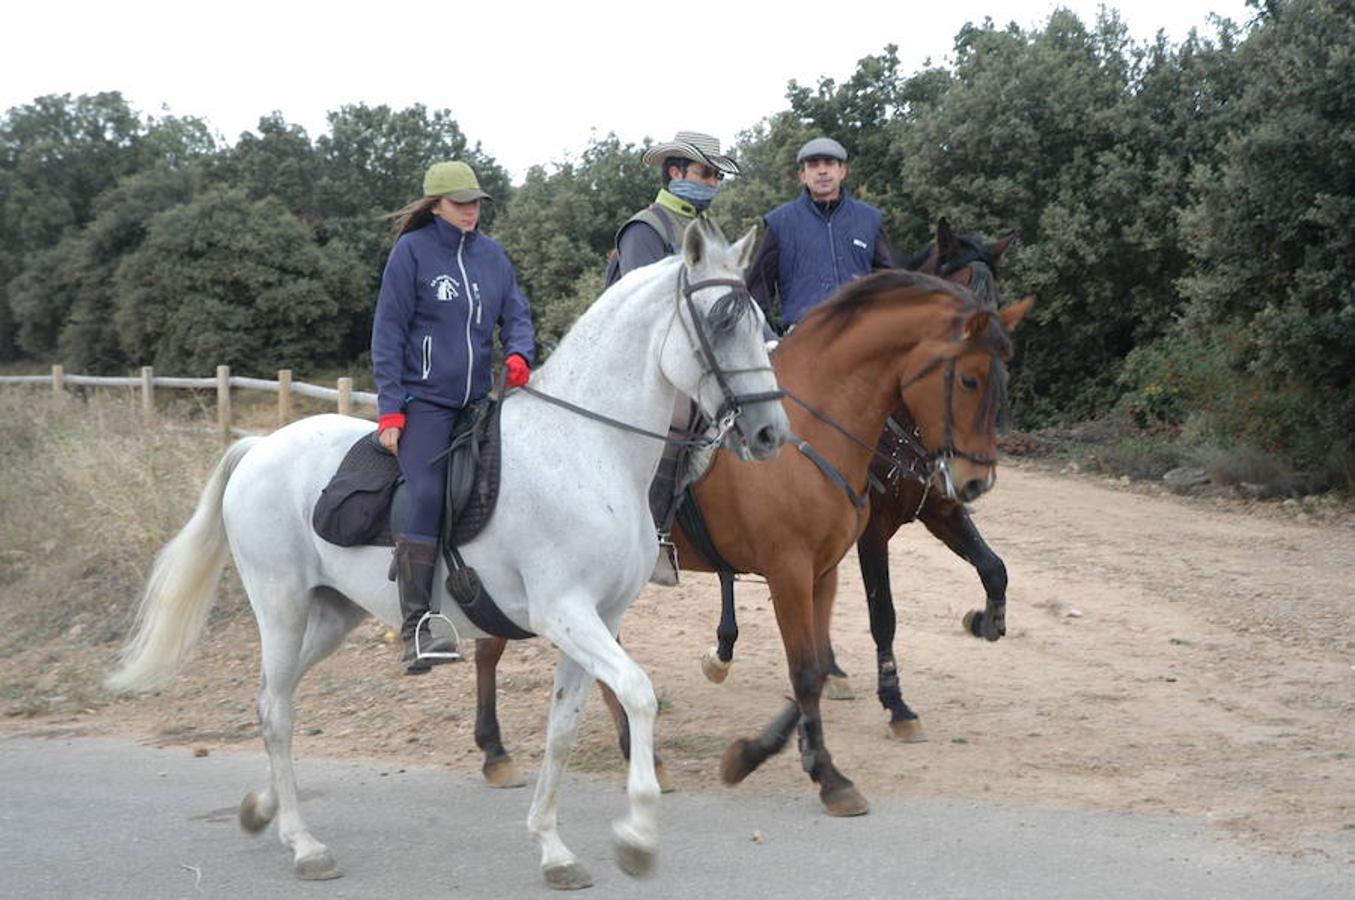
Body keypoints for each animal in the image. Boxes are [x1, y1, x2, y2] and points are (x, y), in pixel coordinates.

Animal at [111, 219, 791, 883]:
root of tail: (260, 446)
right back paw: (305, 846)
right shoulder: (565, 613)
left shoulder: (601, 617)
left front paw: (554, 848)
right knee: (276, 711)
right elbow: (639, 692)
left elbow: (564, 728)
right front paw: (638, 837)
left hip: (331, 614)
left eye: (761, 322)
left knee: (273, 700)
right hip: (281, 607)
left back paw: (262, 809)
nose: (769, 435)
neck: (585, 447)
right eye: (722, 322)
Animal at [471, 271, 1029, 813]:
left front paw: (757, 753)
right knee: (494, 645)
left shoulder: (825, 570)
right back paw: (498, 750)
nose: (975, 481)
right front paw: (825, 774)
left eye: (1003, 380)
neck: (810, 431)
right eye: (970, 379)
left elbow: (818, 666)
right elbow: (813, 665)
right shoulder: (791, 572)